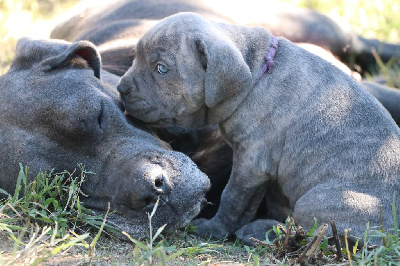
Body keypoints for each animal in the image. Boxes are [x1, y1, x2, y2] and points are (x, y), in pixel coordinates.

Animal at [118, 13, 400, 244]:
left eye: (161, 68)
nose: (121, 88)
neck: (256, 76)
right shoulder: (269, 170)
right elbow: (272, 201)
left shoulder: (251, 164)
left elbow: (233, 199)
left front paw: (212, 230)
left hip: (321, 200)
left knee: (314, 232)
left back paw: (259, 232)